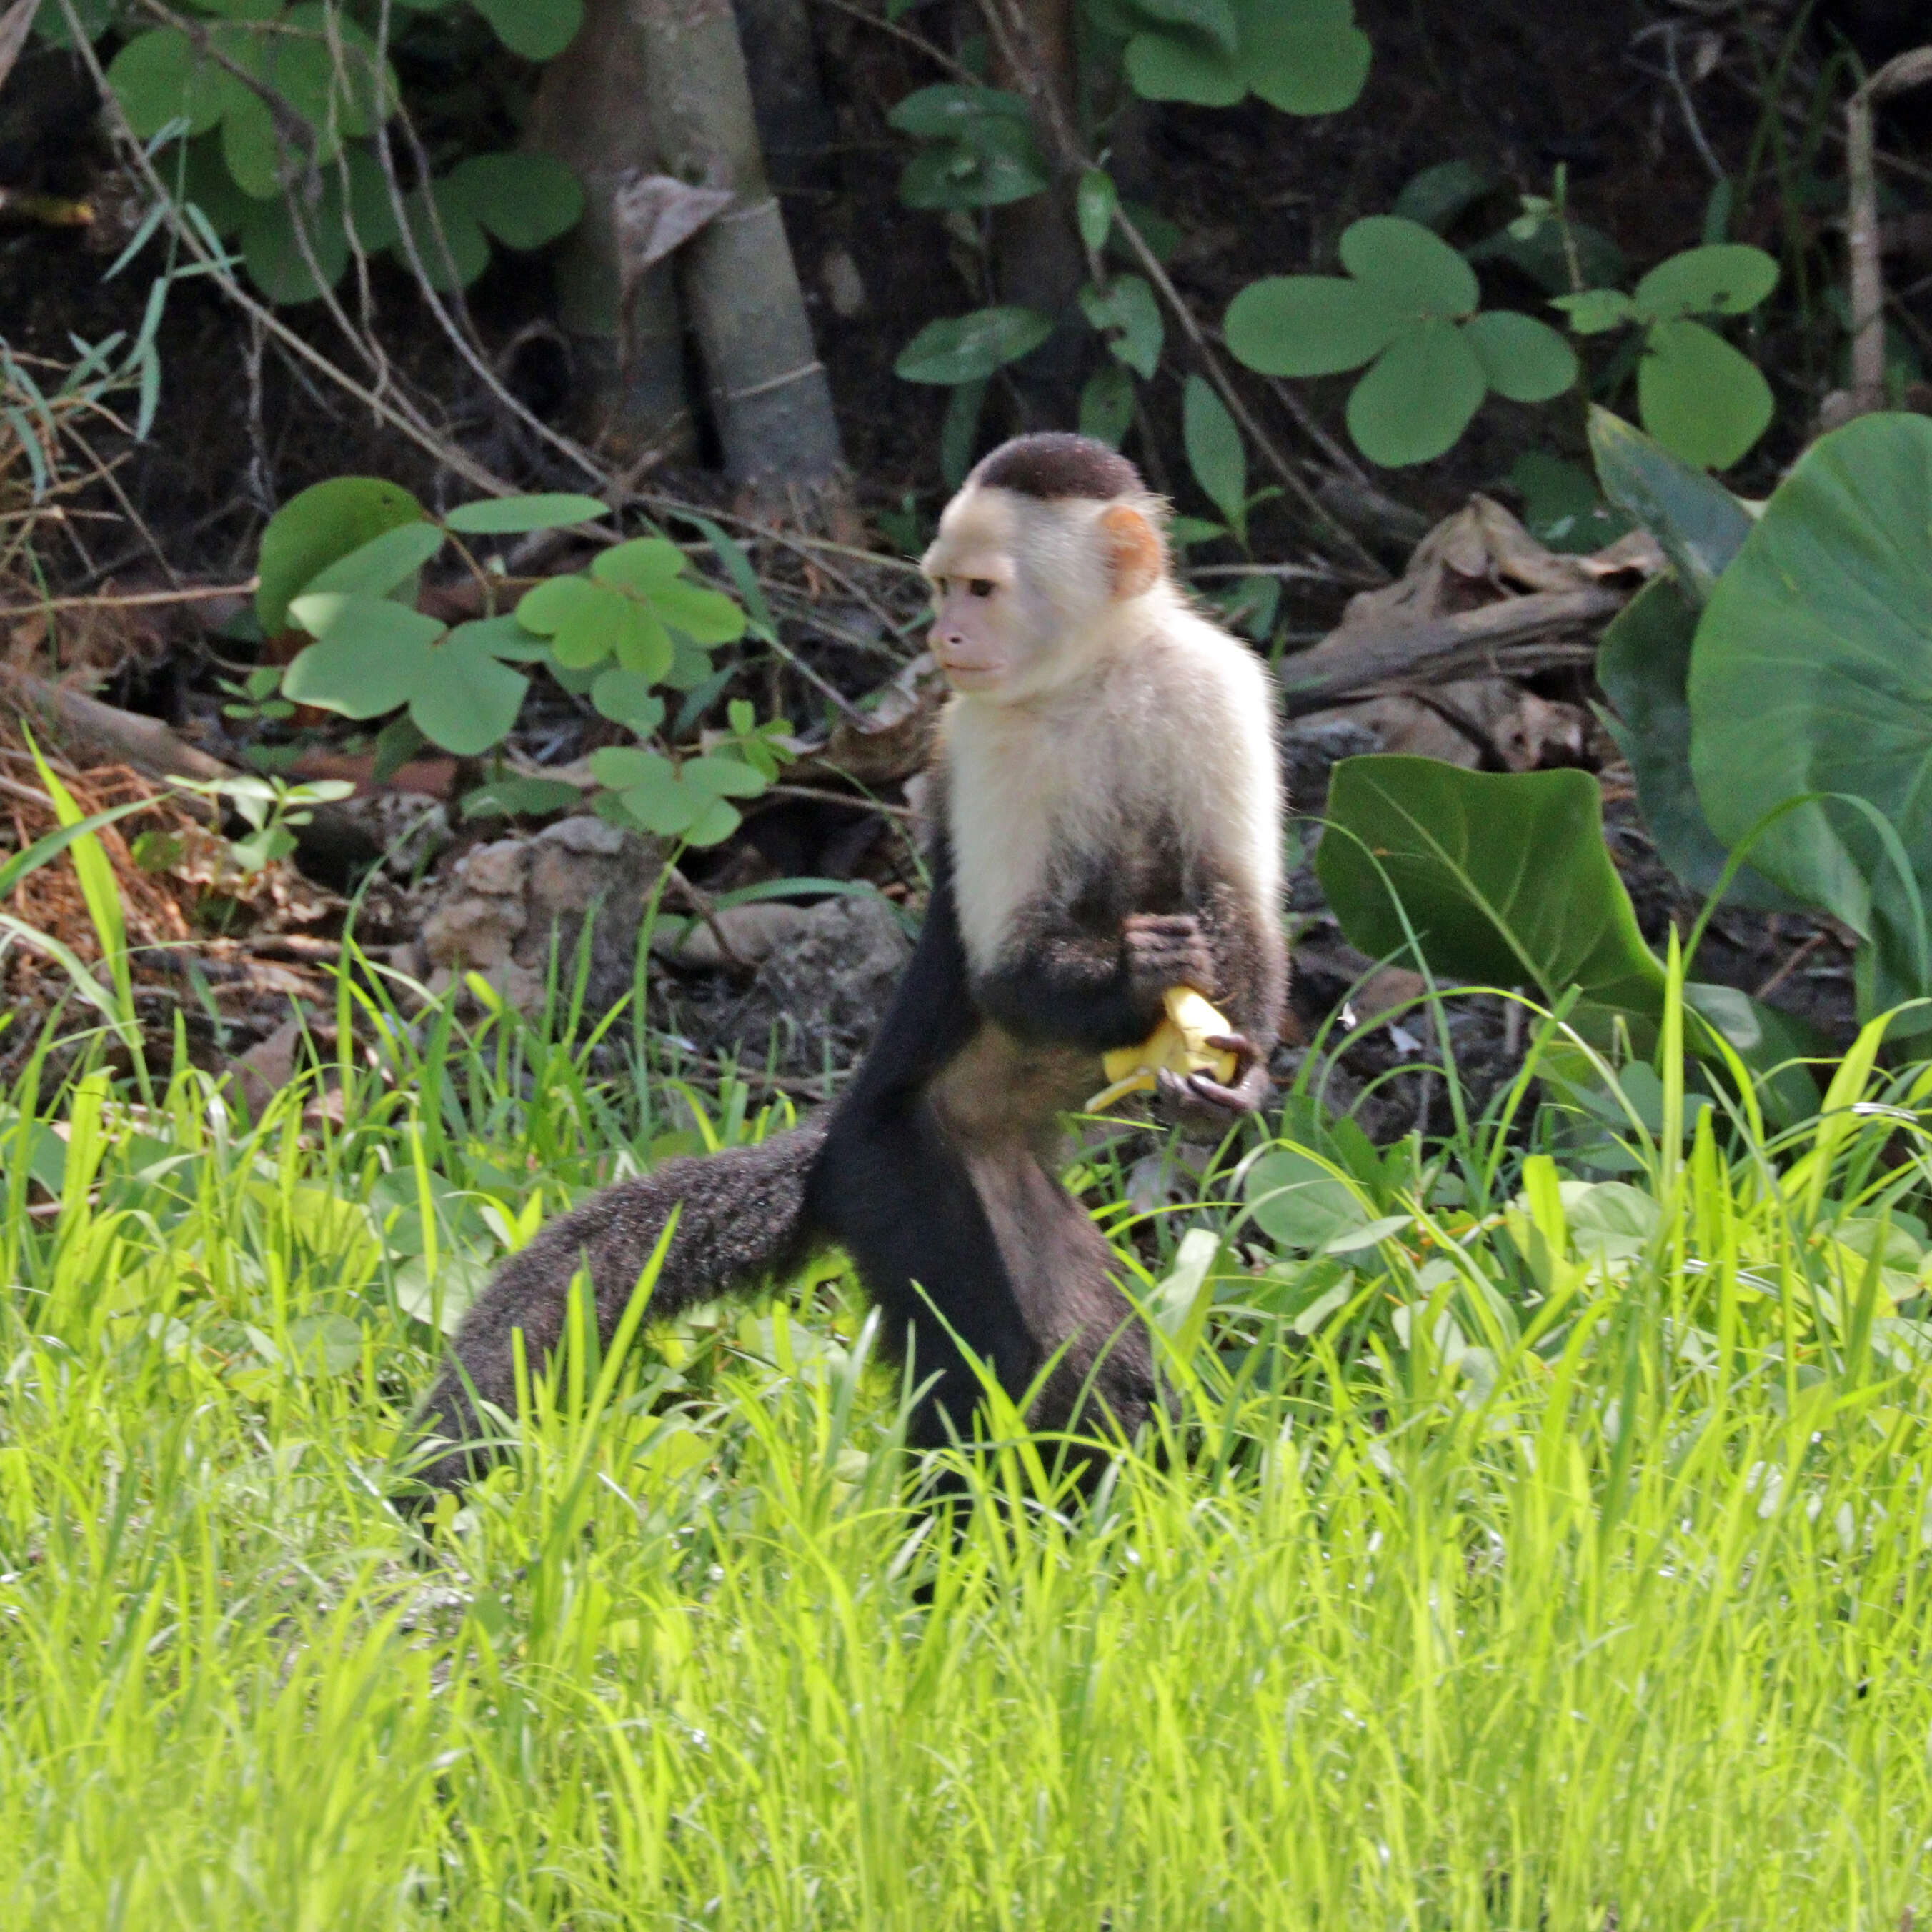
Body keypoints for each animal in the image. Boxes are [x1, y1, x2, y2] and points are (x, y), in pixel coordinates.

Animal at [404, 434, 1283, 1491]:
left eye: (980, 589)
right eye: (942, 587)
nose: (946, 637)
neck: (1093, 676)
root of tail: (836, 1140)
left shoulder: (1214, 684)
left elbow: (1243, 911)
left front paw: (1233, 1079)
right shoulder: (985, 734)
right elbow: (1006, 977)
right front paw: (1142, 979)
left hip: (1011, 1184)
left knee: (1095, 1360)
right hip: (898, 1172)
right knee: (982, 1361)